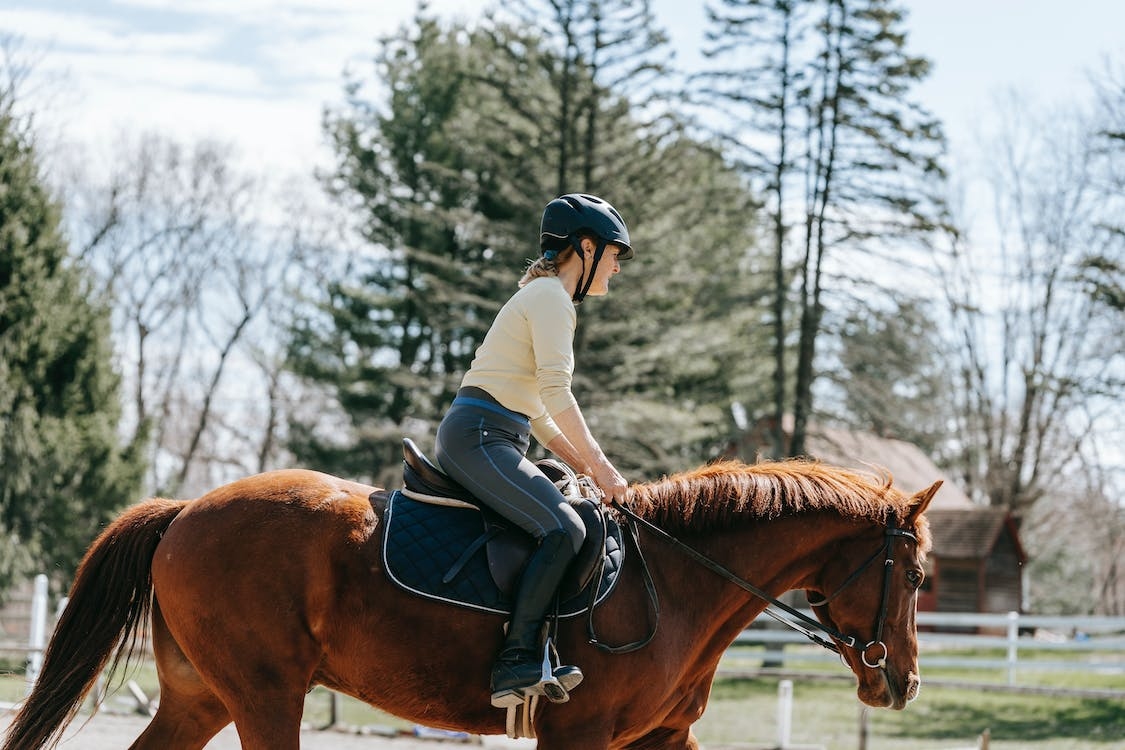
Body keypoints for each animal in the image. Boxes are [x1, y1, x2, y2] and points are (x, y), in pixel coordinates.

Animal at [2, 458, 940, 750]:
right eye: (916, 576)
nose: (900, 685)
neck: (677, 582)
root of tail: (185, 510)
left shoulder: (661, 739)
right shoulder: (578, 737)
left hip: (201, 697)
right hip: (264, 698)